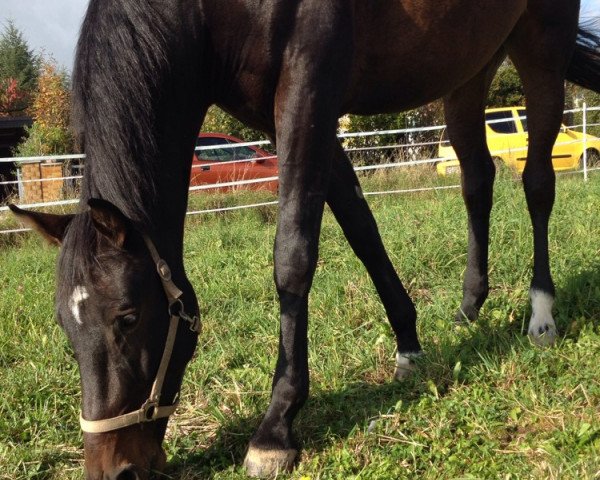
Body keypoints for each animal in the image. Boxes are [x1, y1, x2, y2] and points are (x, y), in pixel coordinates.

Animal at [9, 0, 600, 478]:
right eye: (64, 324)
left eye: (127, 318)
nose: (116, 470)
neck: (210, 11)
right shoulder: (288, 116)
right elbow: (362, 228)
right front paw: (408, 344)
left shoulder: (307, 96)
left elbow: (293, 255)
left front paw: (276, 427)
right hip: (467, 68)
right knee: (477, 180)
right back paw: (469, 307)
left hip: (541, 47)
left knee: (538, 183)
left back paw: (541, 314)